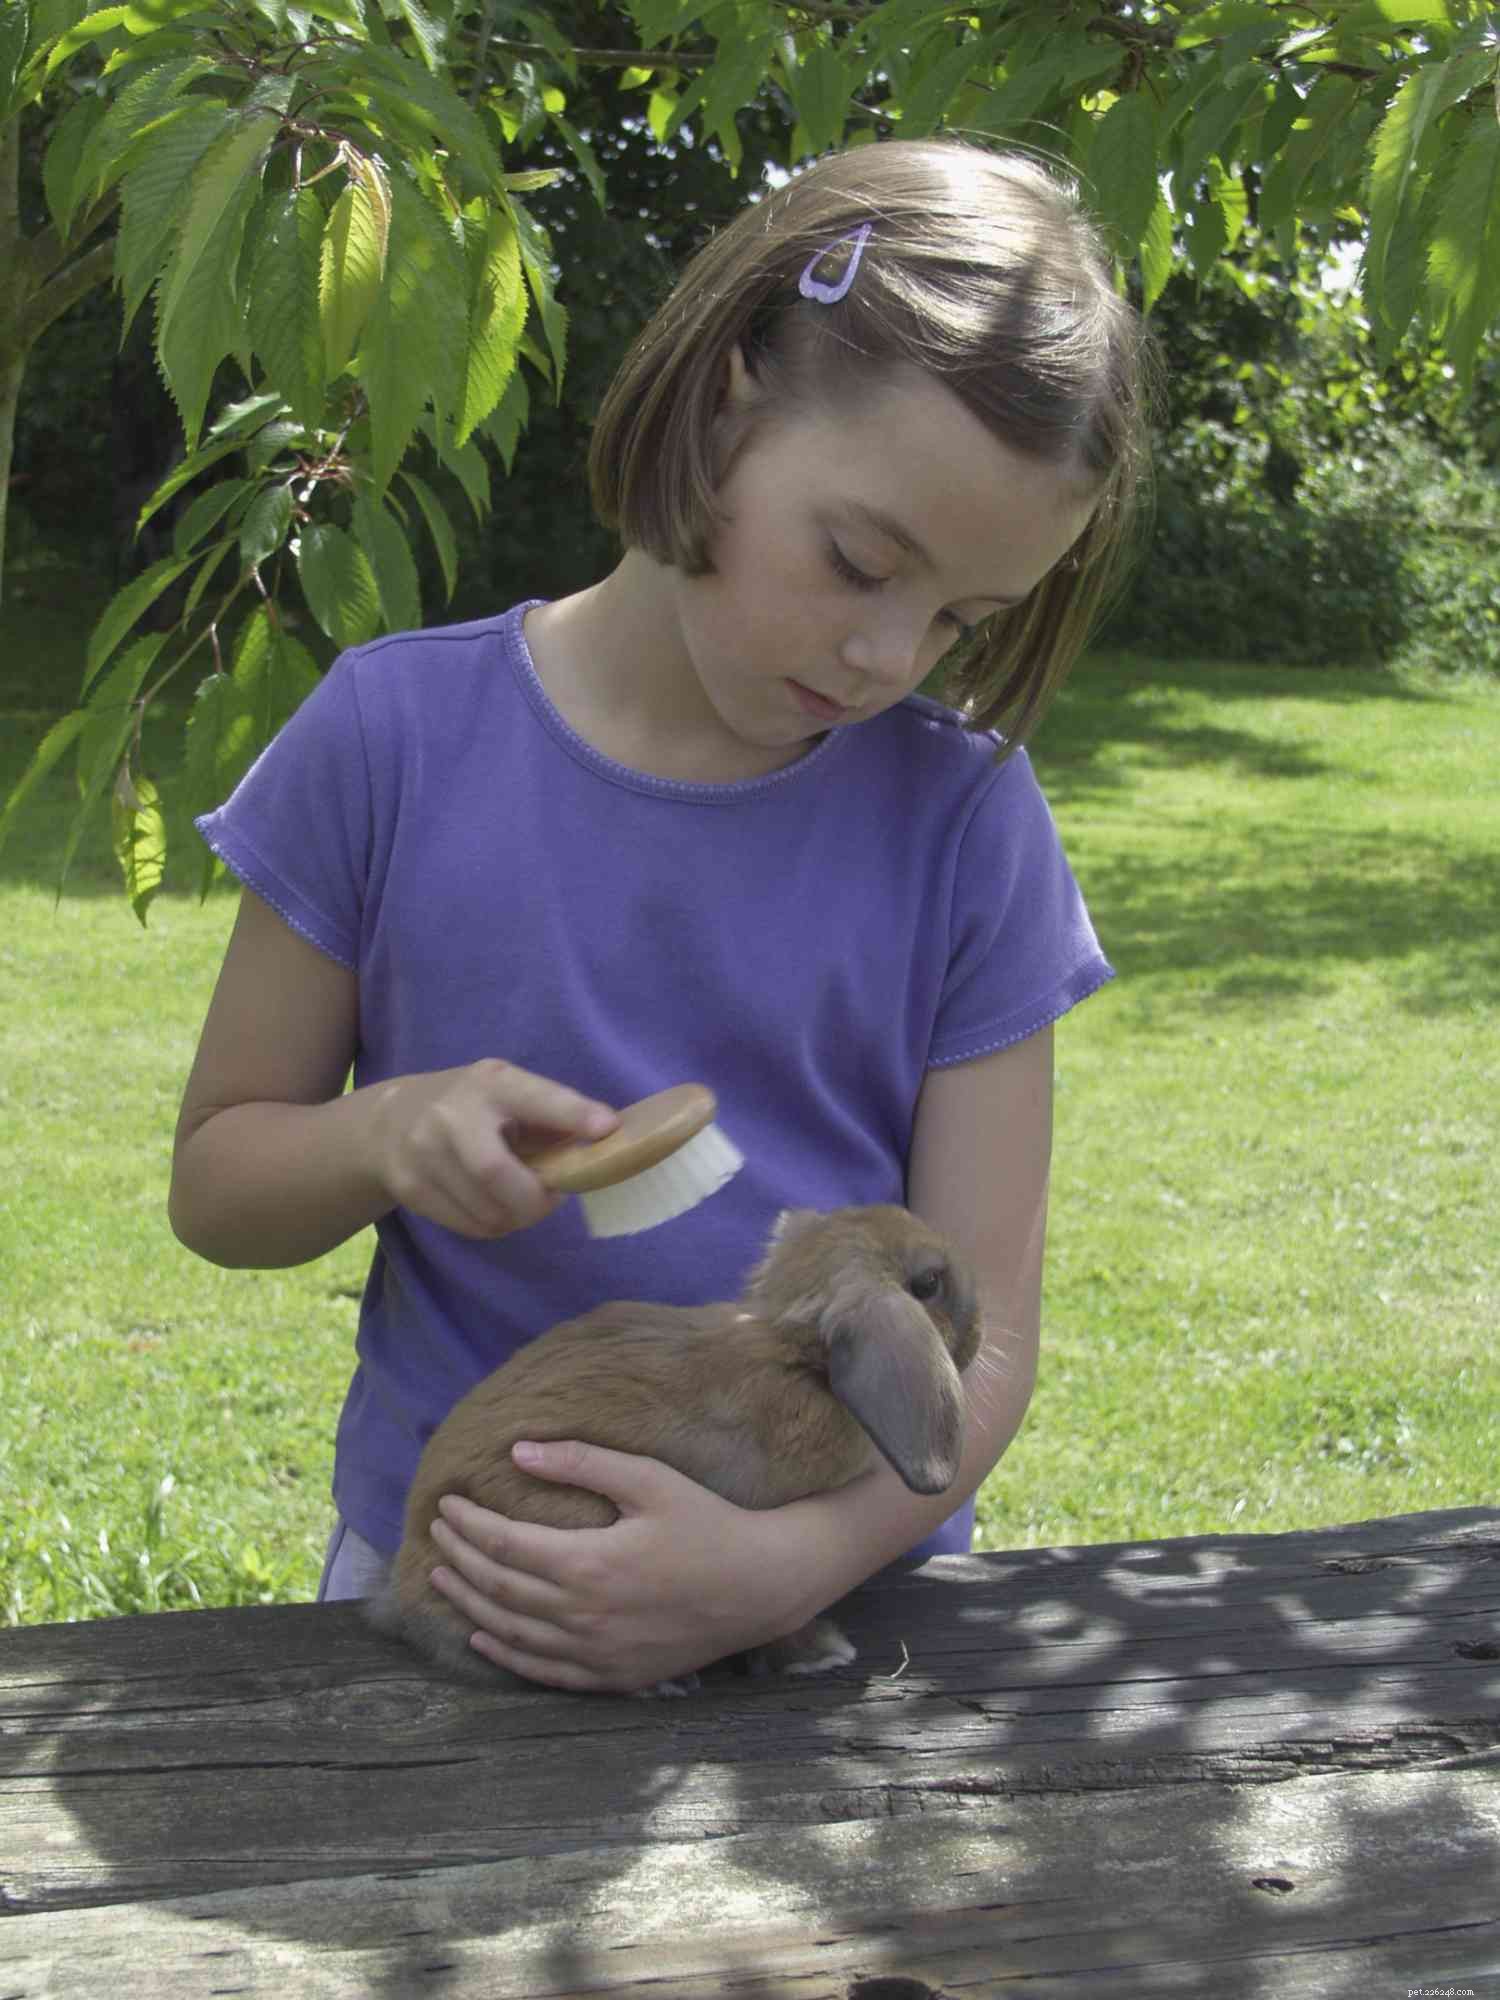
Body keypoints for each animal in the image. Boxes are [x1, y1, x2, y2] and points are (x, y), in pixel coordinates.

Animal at [365, 1203, 981, 1692]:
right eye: (928, 1284)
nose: (977, 1335)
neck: (794, 1359)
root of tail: (402, 1601)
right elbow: (779, 1617)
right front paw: (824, 1654)